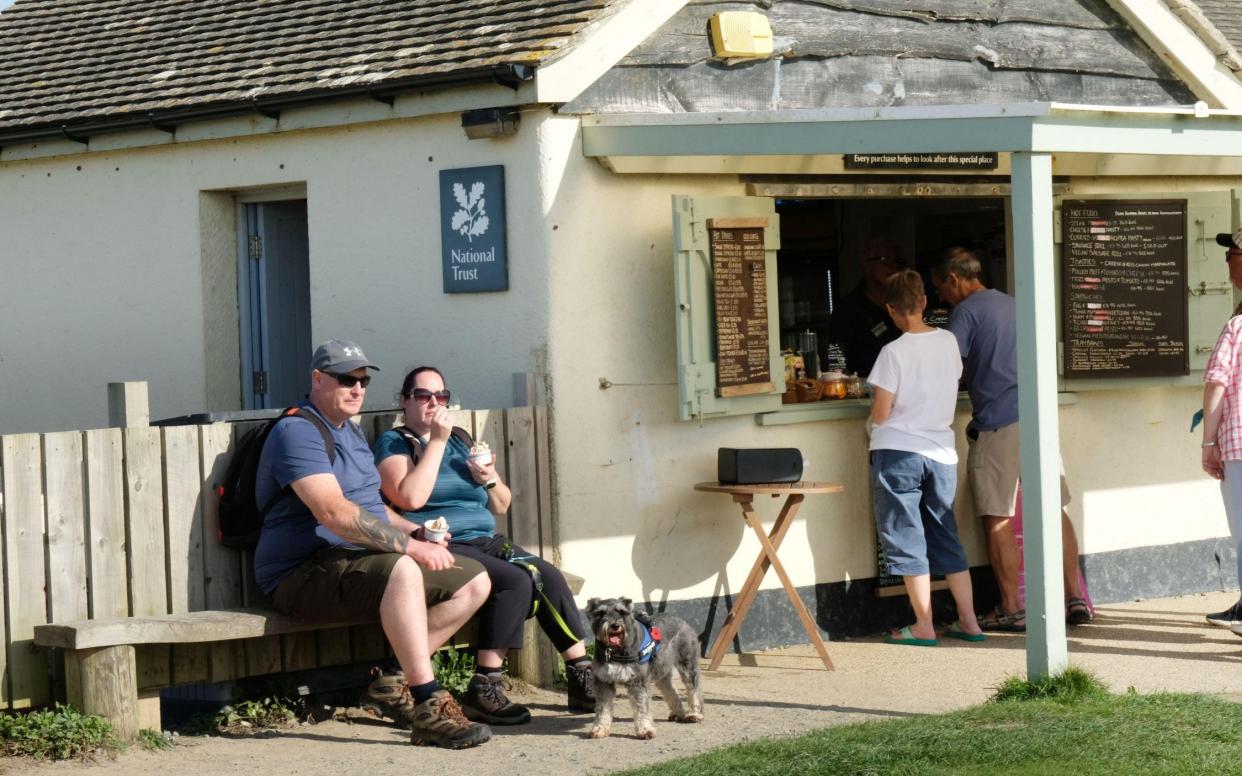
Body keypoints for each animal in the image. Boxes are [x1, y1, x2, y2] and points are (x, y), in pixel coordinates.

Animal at [586, 598, 705, 739]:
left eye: (622, 612)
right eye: (600, 613)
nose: (614, 625)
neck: (614, 650)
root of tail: (683, 622)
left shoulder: (638, 681)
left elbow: (641, 707)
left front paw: (645, 730)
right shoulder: (603, 682)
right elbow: (603, 709)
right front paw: (600, 729)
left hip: (688, 665)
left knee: (693, 689)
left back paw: (695, 714)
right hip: (662, 672)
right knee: (671, 690)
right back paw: (678, 713)